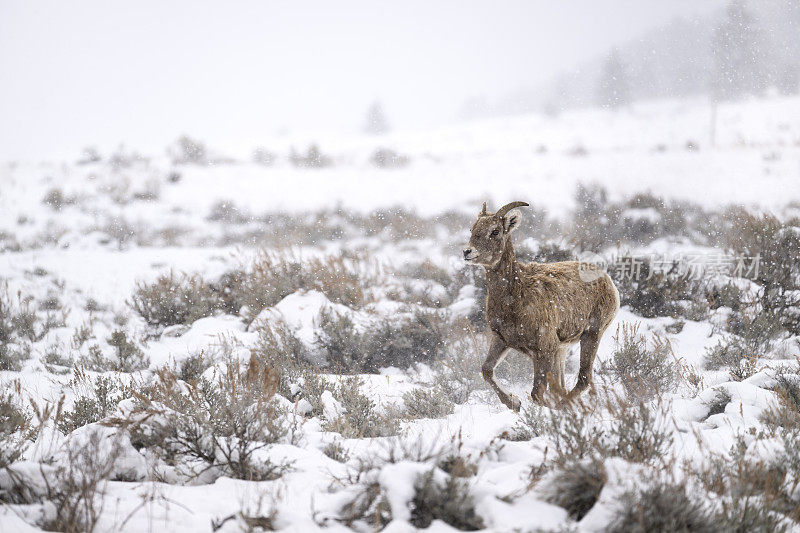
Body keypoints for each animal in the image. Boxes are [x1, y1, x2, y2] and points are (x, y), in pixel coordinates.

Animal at [462, 202, 620, 410]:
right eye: (472, 229)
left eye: (495, 231)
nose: (467, 252)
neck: (515, 297)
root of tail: (608, 282)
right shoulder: (501, 340)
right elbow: (487, 370)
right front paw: (514, 403)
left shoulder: (544, 349)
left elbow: (537, 393)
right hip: (561, 350)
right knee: (563, 385)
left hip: (592, 333)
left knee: (583, 378)